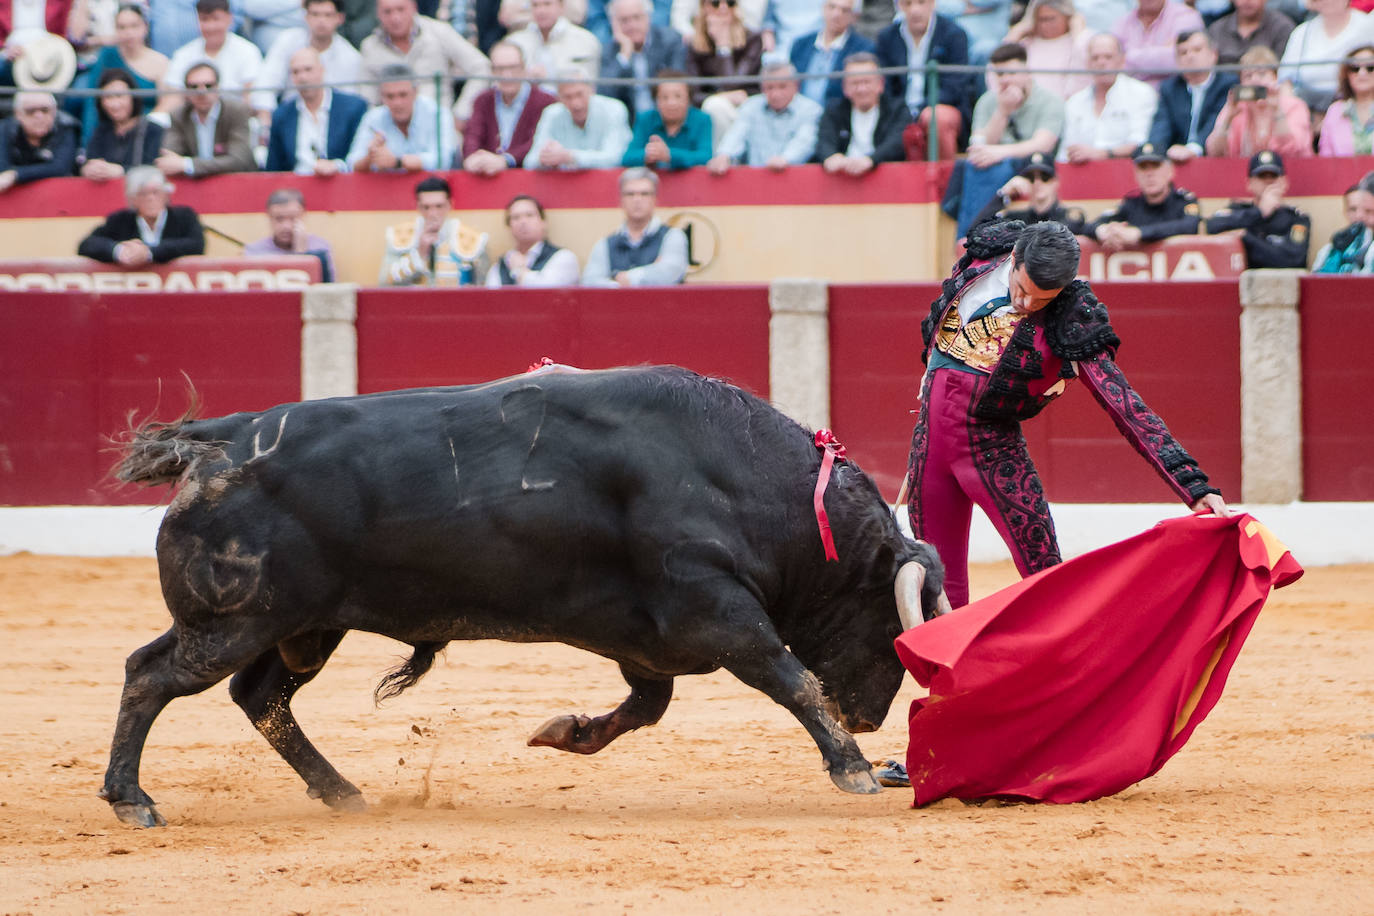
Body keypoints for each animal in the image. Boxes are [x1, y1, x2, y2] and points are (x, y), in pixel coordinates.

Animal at [104, 365, 945, 829]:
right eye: (889, 625)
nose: (868, 720)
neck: (742, 478)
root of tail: (225, 438)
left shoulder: (650, 640)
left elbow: (646, 707)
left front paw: (563, 731)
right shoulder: (716, 612)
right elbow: (792, 678)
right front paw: (852, 769)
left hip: (301, 625)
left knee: (260, 697)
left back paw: (343, 793)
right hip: (235, 619)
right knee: (151, 676)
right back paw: (133, 801)